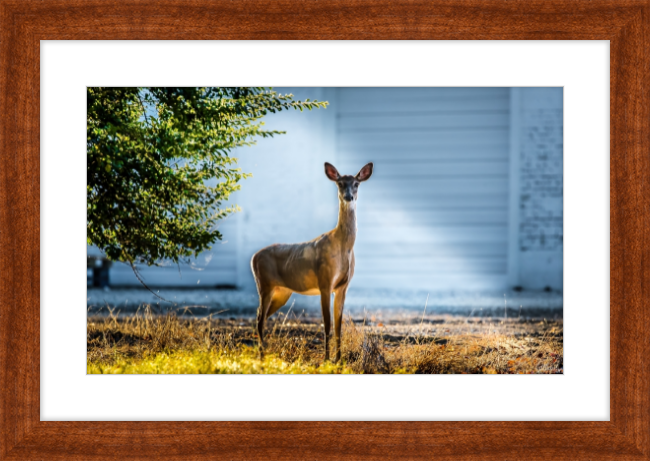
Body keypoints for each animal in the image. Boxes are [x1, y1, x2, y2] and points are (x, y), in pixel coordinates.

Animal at [251, 163, 372, 362]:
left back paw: (264, 353)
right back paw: (261, 357)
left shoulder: (342, 286)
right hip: (265, 284)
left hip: (282, 291)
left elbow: (338, 326)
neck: (343, 247)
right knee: (260, 319)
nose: (349, 196)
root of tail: (253, 257)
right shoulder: (325, 282)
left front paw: (339, 360)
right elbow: (327, 324)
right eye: (340, 183)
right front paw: (326, 360)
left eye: (356, 183)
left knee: (261, 316)